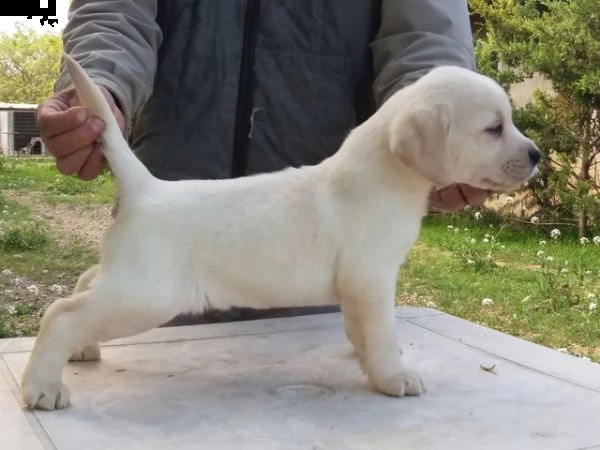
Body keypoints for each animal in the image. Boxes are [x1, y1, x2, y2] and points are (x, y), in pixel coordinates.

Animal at [21, 52, 540, 412]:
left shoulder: (357, 289)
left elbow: (362, 332)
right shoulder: (371, 279)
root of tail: (145, 187)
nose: (537, 155)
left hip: (128, 280)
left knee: (84, 283)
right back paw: (42, 386)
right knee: (61, 313)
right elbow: (381, 332)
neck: (382, 174)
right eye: (494, 128)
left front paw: (369, 363)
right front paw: (392, 377)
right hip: (147, 296)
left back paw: (81, 351)